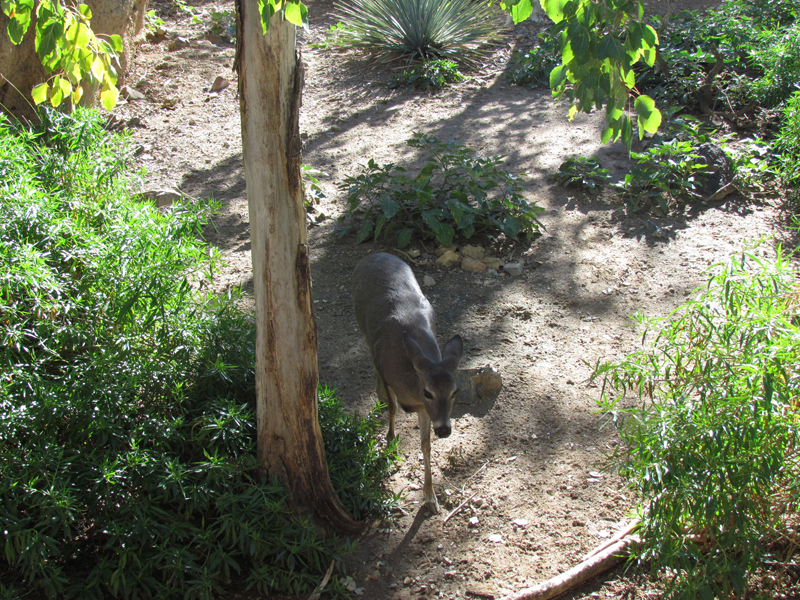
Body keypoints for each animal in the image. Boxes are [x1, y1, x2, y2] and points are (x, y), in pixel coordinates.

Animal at [352, 252, 464, 513]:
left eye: (454, 392)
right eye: (428, 392)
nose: (444, 429)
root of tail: (375, 254)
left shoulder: (424, 410)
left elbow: (425, 445)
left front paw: (430, 497)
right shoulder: (386, 370)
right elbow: (393, 408)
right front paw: (390, 440)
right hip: (361, 323)